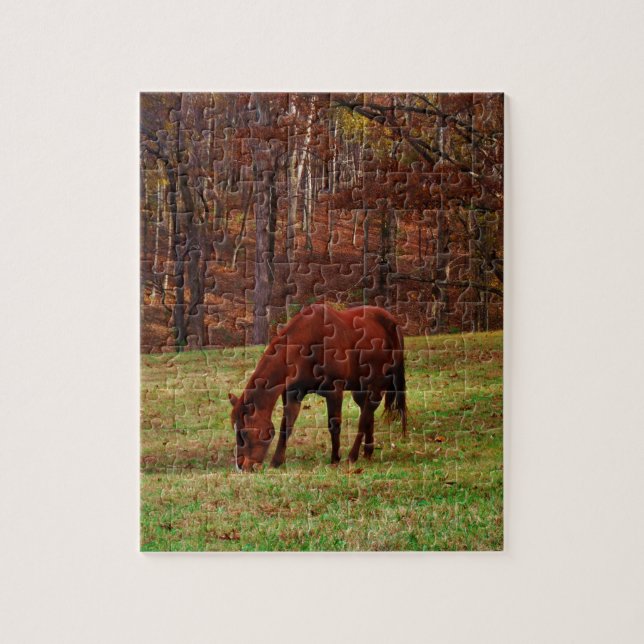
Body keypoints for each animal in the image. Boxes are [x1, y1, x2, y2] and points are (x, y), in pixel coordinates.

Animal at [228, 303, 407, 471]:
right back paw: (368, 451)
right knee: (367, 412)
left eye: (245, 432)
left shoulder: (335, 390)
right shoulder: (292, 394)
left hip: (377, 384)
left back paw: (353, 456)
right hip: (360, 388)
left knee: (365, 417)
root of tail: (393, 323)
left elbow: (334, 425)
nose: (241, 466)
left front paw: (335, 459)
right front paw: (276, 462)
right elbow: (286, 426)